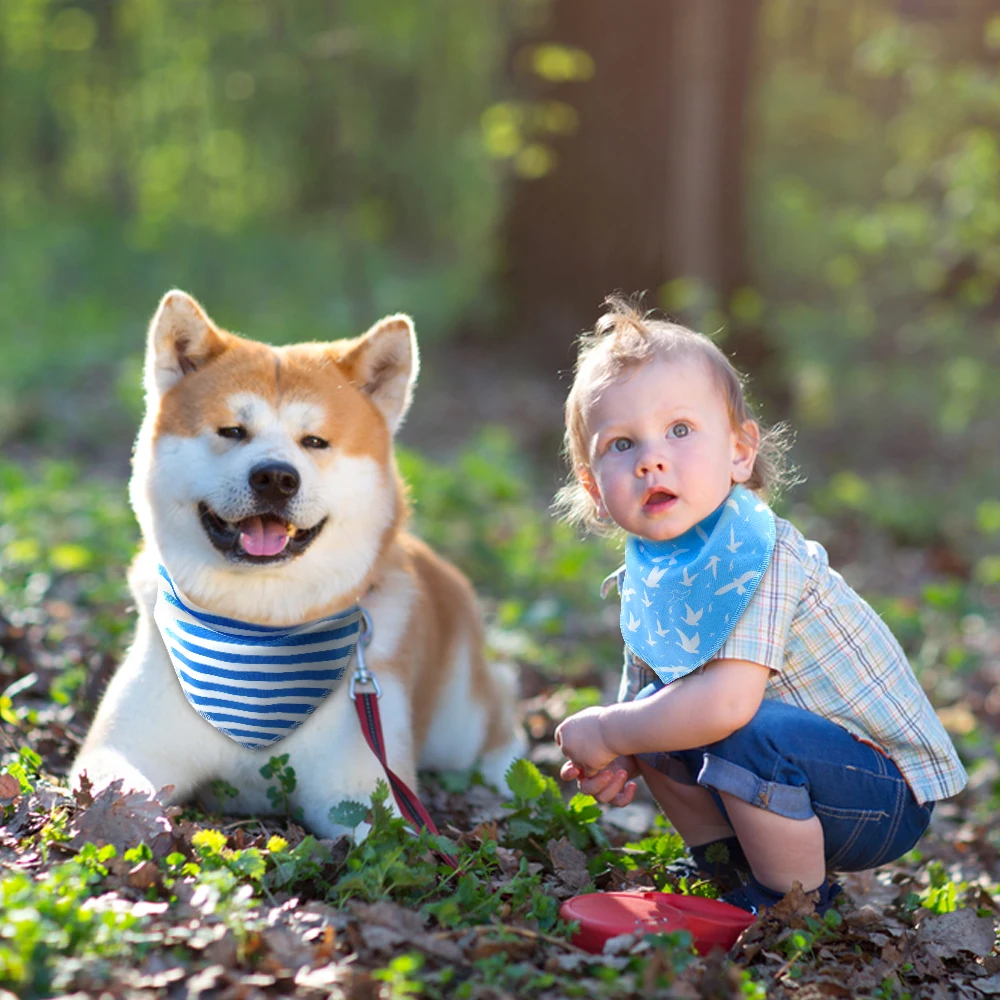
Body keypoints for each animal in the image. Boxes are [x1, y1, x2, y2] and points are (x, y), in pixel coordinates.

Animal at [69, 292, 524, 836]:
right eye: (232, 431)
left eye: (315, 441)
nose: (275, 478)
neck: (259, 630)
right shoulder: (123, 747)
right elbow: (123, 791)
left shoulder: (359, 782)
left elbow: (387, 831)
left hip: (458, 723)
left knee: (502, 718)